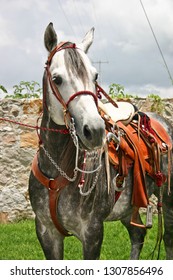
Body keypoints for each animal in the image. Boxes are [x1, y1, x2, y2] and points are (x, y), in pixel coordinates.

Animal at [28, 23, 173, 260]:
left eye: (95, 76)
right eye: (57, 79)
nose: (94, 130)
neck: (59, 172)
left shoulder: (92, 232)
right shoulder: (46, 232)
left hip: (169, 201)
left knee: (168, 241)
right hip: (128, 207)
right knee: (137, 234)